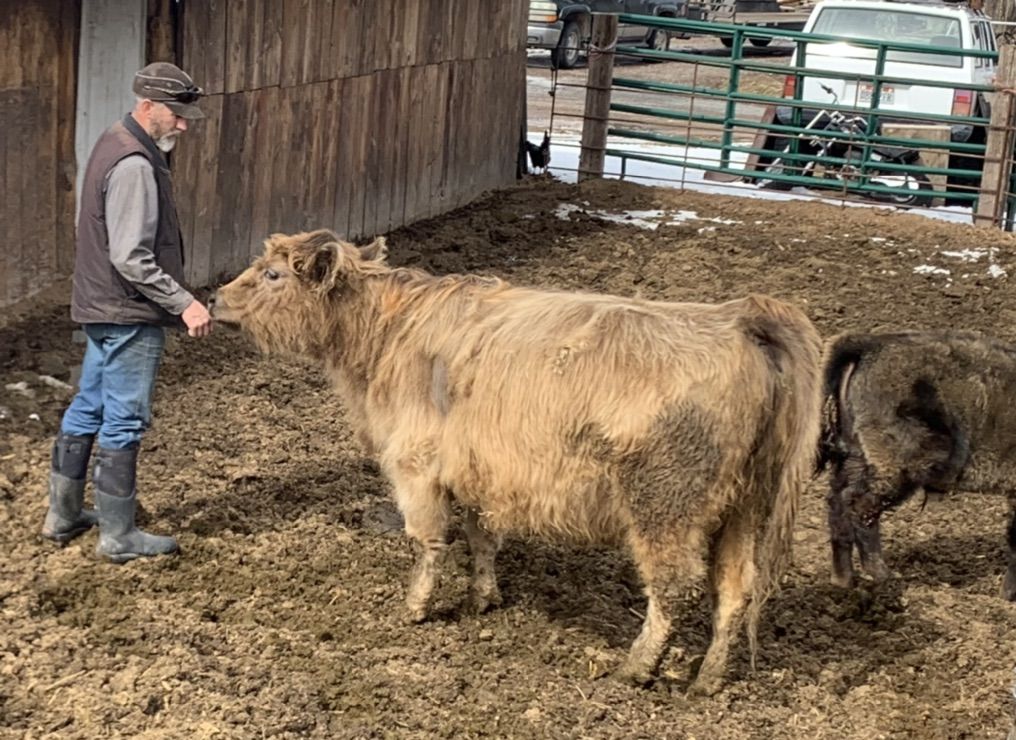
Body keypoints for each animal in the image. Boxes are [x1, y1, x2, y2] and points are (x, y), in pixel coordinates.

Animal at [209, 229, 823, 695]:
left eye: (272, 274)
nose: (215, 297)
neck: (388, 332)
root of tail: (740, 319)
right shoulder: (480, 470)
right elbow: (481, 536)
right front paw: (483, 597)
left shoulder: (417, 463)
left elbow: (429, 540)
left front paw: (416, 606)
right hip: (745, 508)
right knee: (735, 591)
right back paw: (708, 679)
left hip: (665, 506)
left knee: (672, 590)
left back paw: (635, 667)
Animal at [819, 330, 1016, 600]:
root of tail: (870, 345)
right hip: (899, 469)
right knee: (860, 506)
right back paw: (885, 577)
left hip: (857, 458)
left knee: (838, 503)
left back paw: (843, 581)